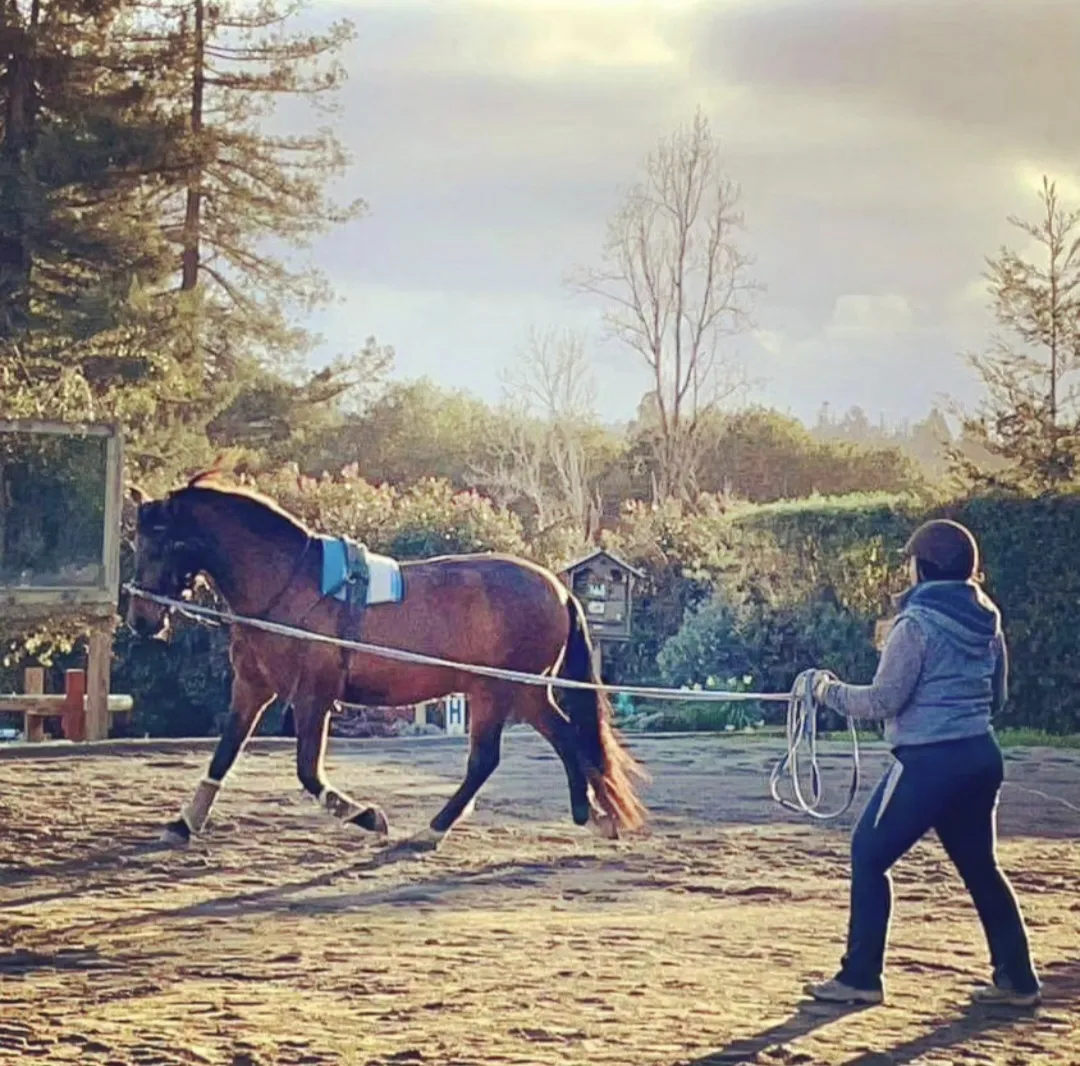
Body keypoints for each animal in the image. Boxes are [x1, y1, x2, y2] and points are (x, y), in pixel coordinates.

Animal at [125, 472, 648, 851]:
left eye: (161, 543)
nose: (140, 618)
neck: (289, 583)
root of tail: (559, 589)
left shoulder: (313, 695)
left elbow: (308, 772)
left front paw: (366, 816)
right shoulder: (252, 688)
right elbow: (225, 752)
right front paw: (185, 821)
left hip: (498, 690)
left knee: (489, 758)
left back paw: (433, 830)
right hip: (521, 692)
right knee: (563, 736)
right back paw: (589, 814)